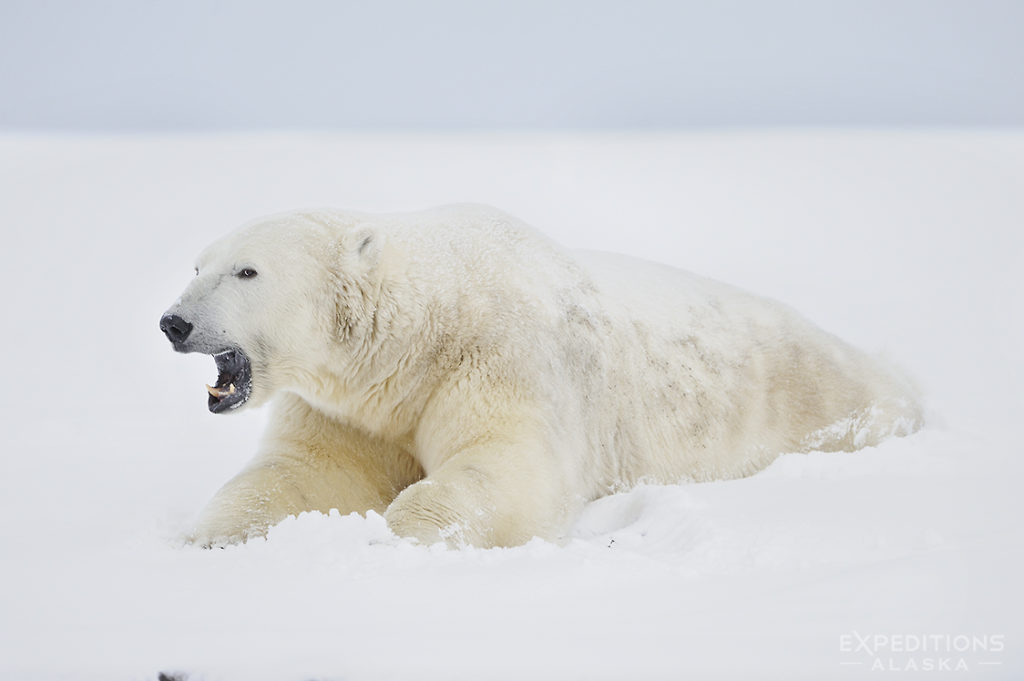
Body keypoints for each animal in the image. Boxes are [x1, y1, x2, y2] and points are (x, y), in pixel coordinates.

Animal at [161, 201, 929, 548]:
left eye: (247, 271)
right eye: (197, 264)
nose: (173, 322)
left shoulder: (502, 358)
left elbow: (508, 464)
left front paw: (405, 531)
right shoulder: (354, 407)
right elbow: (308, 469)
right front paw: (214, 534)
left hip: (827, 404)